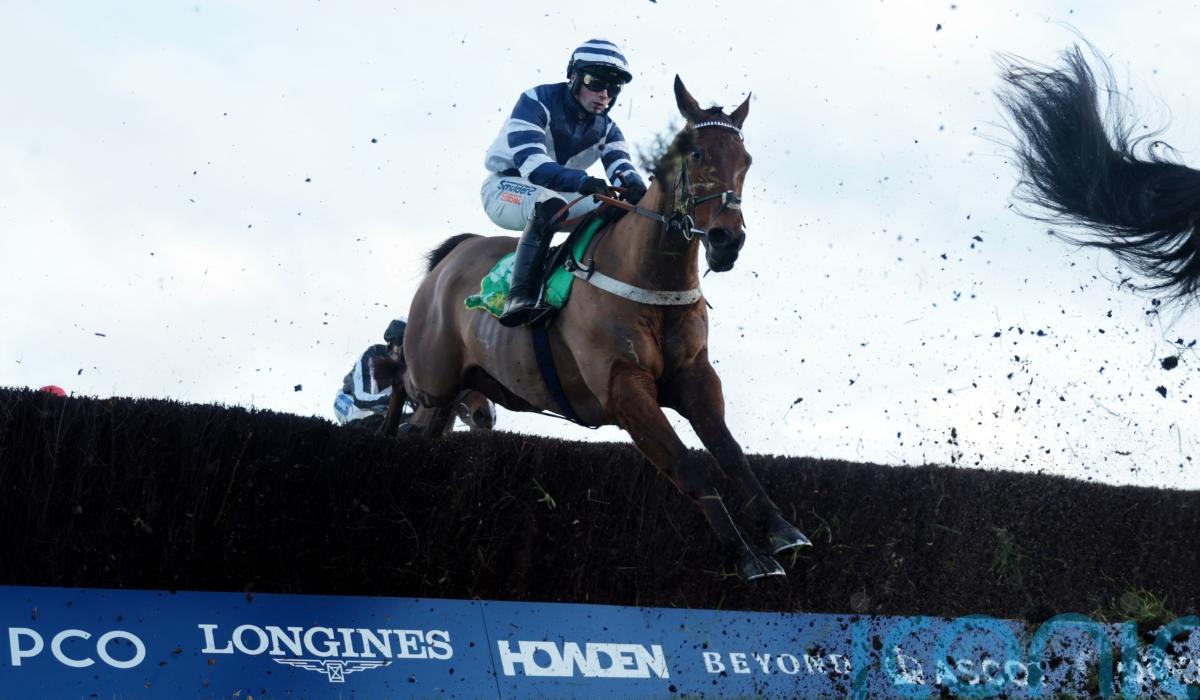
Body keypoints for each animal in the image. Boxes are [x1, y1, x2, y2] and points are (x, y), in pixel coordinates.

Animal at [385, 76, 811, 581]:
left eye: (745, 160)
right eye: (697, 153)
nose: (727, 240)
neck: (648, 279)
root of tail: (452, 257)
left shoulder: (695, 377)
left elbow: (732, 455)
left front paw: (785, 531)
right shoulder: (623, 387)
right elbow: (688, 466)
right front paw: (749, 557)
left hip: (464, 388)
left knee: (429, 428)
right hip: (433, 377)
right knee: (400, 376)